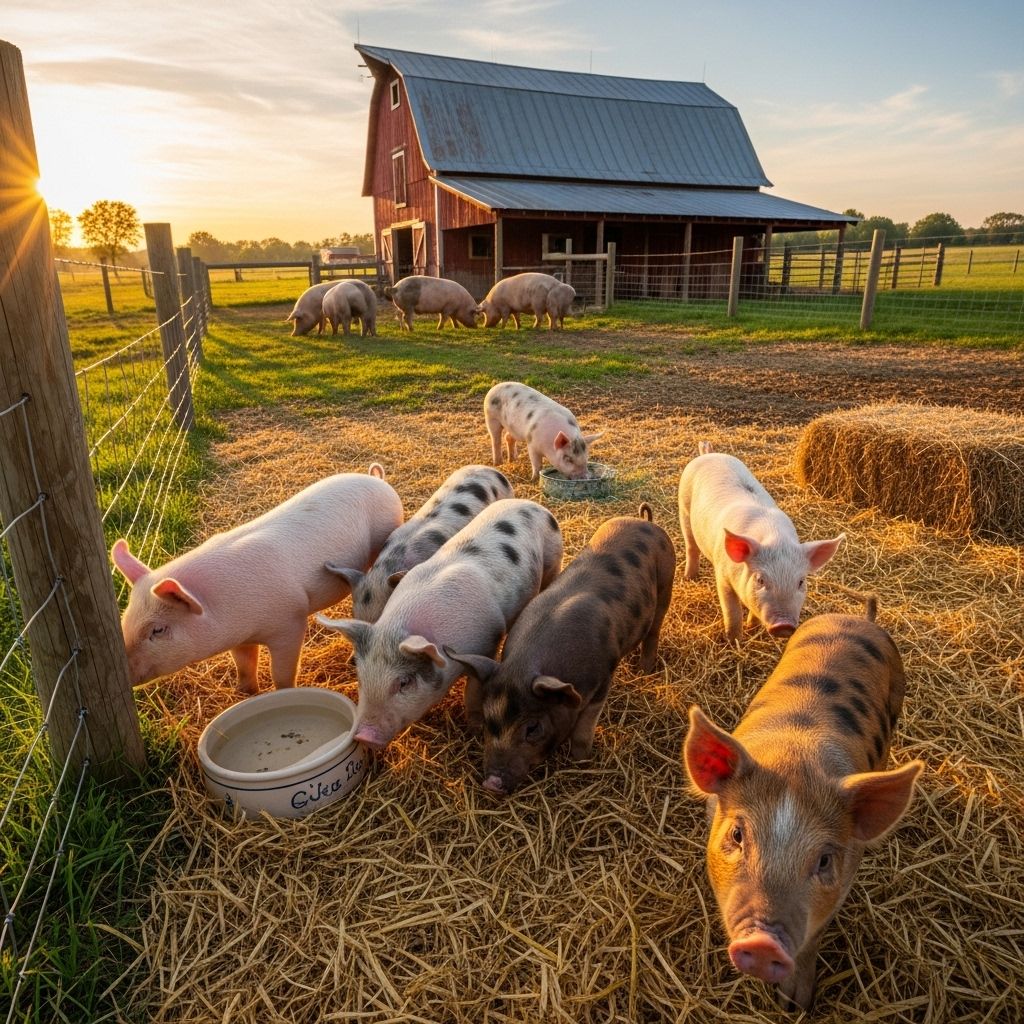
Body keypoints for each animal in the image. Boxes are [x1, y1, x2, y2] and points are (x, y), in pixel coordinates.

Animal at [111, 471, 403, 693]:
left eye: (158, 629)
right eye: (125, 618)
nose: (124, 672)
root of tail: (377, 478)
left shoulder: (290, 621)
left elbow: (281, 672)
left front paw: (284, 692)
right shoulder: (240, 638)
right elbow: (244, 665)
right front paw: (245, 693)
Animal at [317, 499, 563, 749]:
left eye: (404, 682)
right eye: (360, 676)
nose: (363, 737)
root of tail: (531, 504)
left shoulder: (488, 640)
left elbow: (473, 690)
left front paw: (474, 729)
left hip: (554, 558)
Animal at [446, 502, 675, 794]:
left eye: (533, 728)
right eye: (488, 722)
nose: (492, 783)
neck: (524, 665)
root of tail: (646, 521)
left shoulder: (602, 679)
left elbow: (584, 729)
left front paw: (581, 761)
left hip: (667, 581)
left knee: (655, 628)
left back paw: (645, 670)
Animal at [678, 447, 844, 641]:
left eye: (801, 582)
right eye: (760, 580)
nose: (784, 626)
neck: (774, 536)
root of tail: (708, 454)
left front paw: (752, 628)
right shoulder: (722, 574)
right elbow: (732, 611)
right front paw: (734, 640)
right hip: (684, 508)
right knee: (691, 546)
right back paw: (690, 577)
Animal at [683, 608, 923, 1010]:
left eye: (824, 860)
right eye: (737, 834)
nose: (763, 944)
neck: (795, 755)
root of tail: (856, 618)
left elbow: (813, 940)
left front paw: (796, 1005)